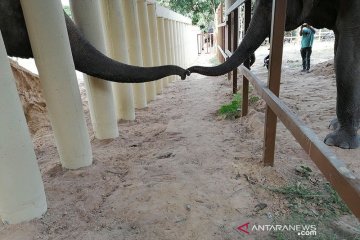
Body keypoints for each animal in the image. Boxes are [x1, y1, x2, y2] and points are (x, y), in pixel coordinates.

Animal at [188, 0, 360, 149]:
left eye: (267, 4)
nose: (187, 71)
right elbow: (339, 50)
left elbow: (347, 55)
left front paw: (337, 143)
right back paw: (335, 124)